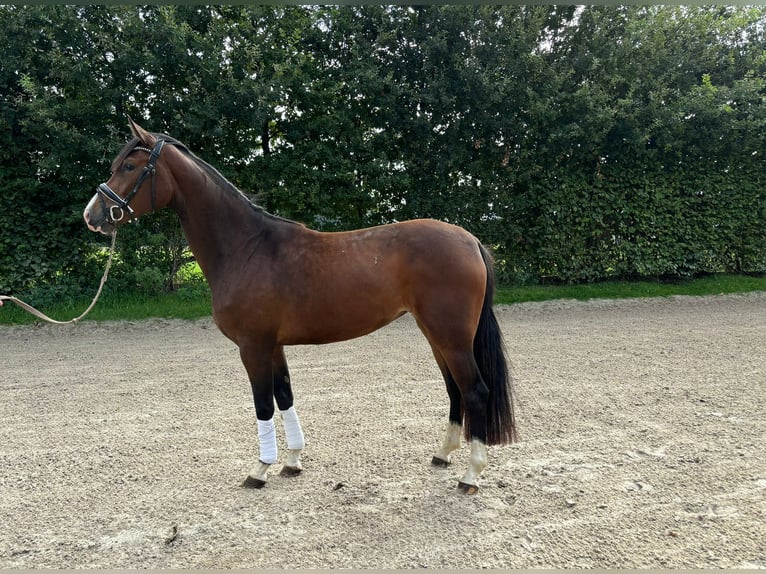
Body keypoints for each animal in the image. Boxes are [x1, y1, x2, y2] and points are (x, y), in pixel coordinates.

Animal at [82, 118, 516, 496]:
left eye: (130, 166)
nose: (92, 216)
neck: (246, 248)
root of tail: (470, 240)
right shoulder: (273, 346)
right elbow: (285, 396)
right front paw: (292, 461)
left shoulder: (253, 347)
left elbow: (262, 403)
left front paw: (259, 469)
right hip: (437, 334)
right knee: (454, 388)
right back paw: (443, 454)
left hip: (451, 336)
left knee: (475, 390)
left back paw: (471, 475)